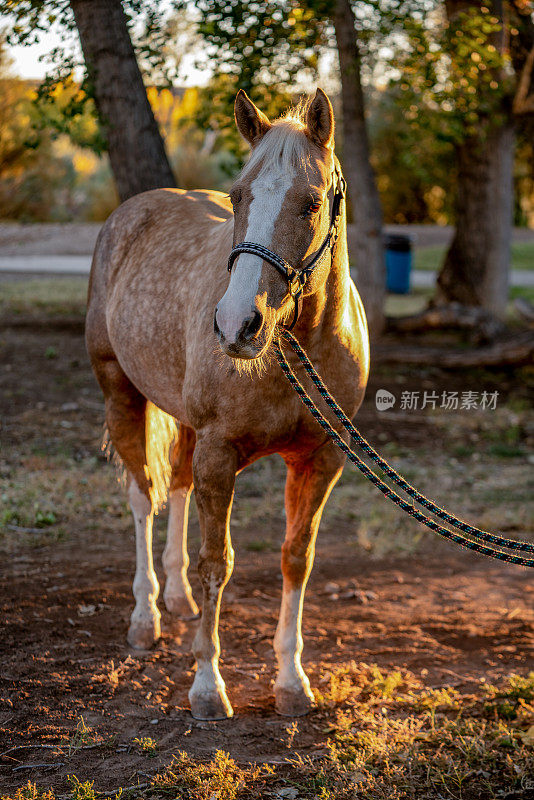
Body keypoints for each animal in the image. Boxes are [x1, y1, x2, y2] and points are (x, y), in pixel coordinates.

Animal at [89, 87, 372, 720]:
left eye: (311, 204)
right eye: (238, 196)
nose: (237, 324)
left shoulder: (321, 460)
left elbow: (296, 557)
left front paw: (291, 681)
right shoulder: (220, 457)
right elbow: (216, 562)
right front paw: (207, 686)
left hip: (186, 425)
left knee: (175, 487)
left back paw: (177, 599)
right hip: (121, 394)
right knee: (144, 497)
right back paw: (146, 619)